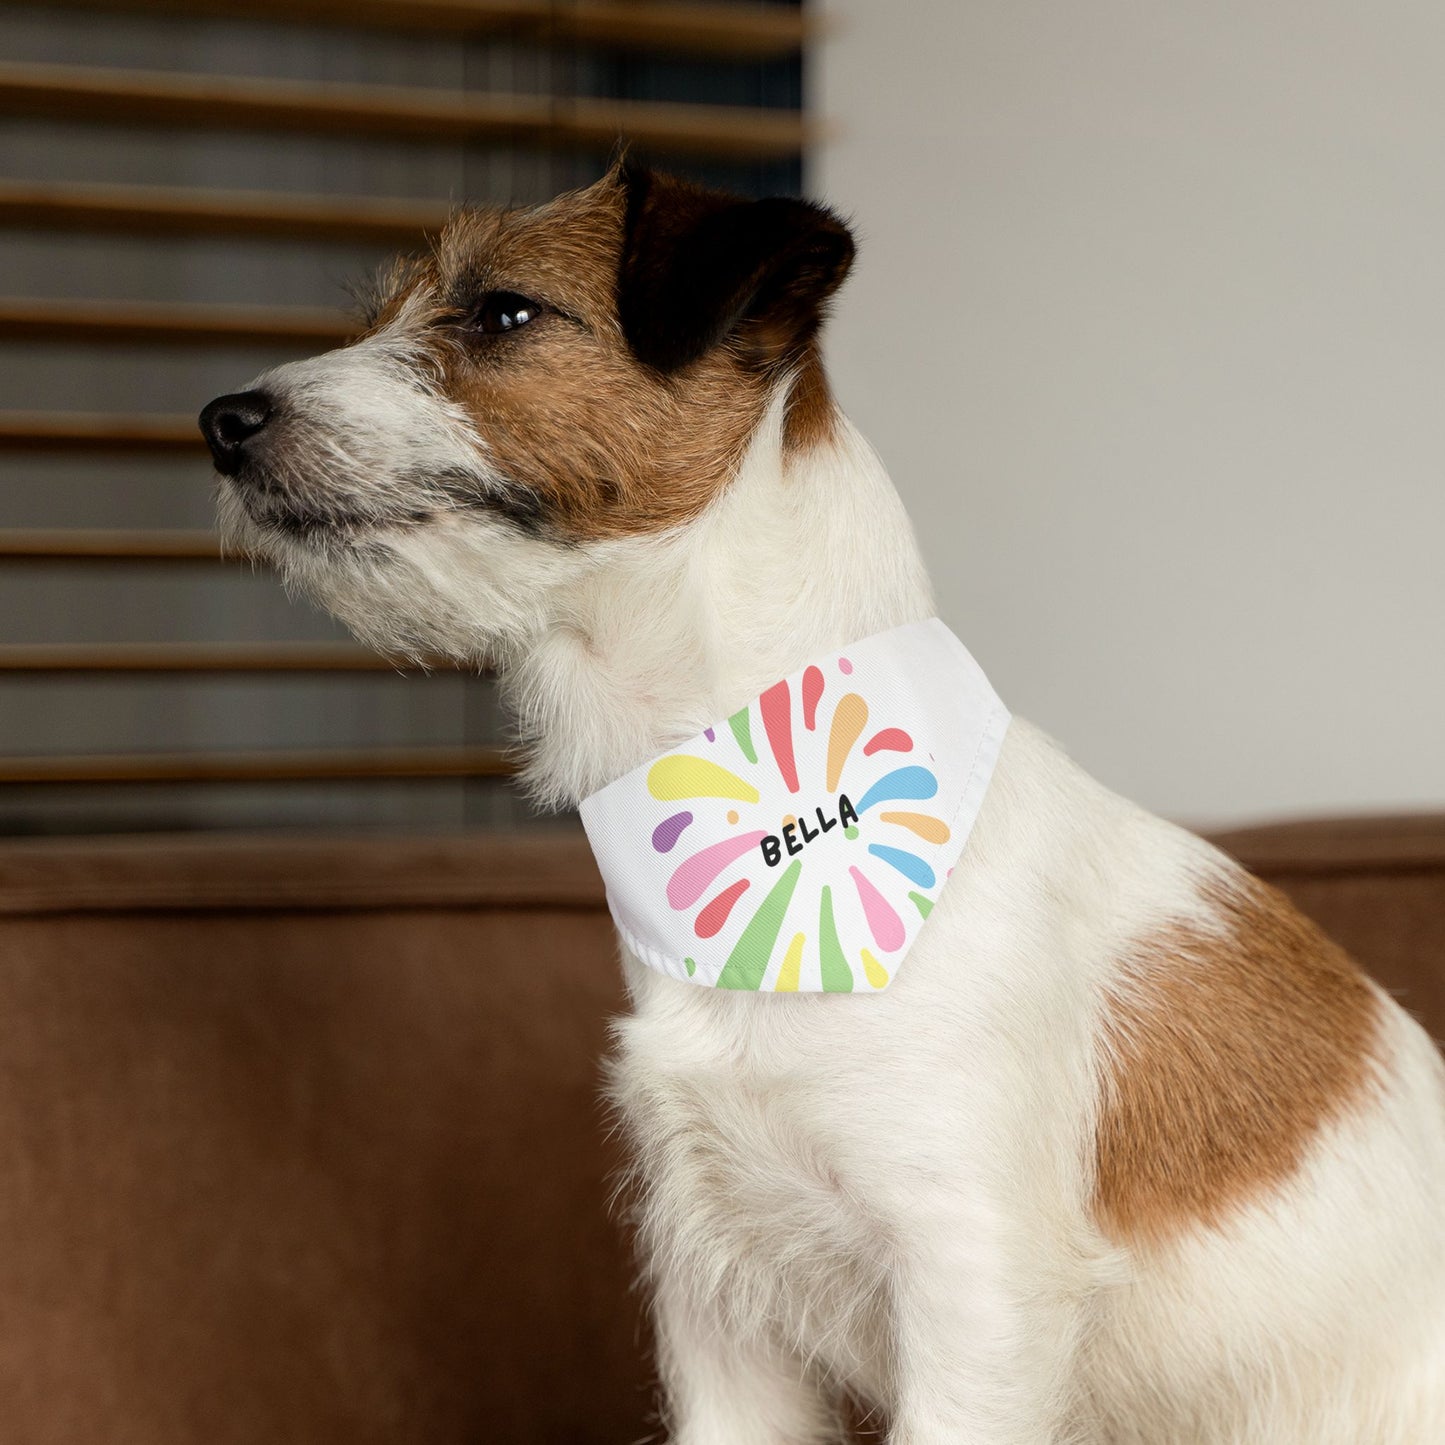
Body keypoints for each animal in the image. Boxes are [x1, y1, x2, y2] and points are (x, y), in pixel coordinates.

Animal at [200, 164, 1445, 1439]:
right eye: (381, 314)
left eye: (503, 311)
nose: (222, 421)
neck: (761, 825)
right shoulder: (717, 1305)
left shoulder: (972, 1291)